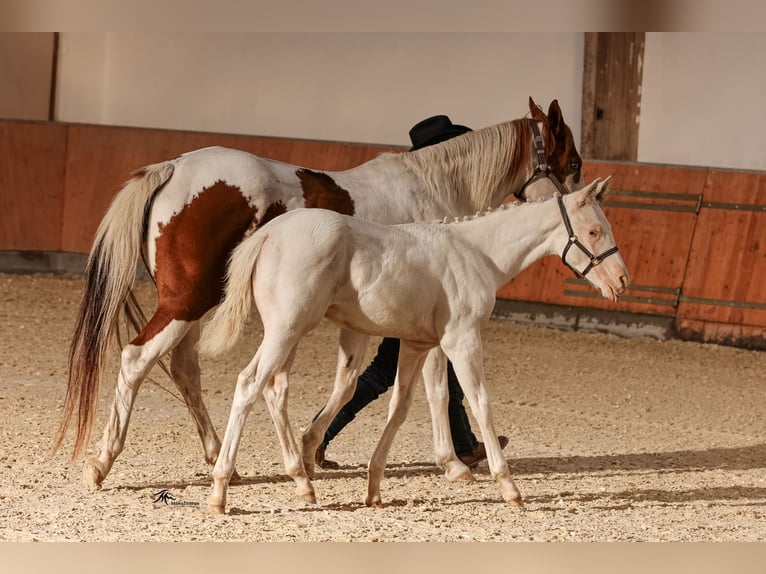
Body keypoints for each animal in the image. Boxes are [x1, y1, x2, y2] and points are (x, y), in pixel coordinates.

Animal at [54, 97, 584, 488]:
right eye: (574, 161)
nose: (580, 204)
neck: (433, 191)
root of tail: (172, 167)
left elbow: (377, 381)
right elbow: (437, 384)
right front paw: (454, 460)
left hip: (196, 306)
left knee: (184, 368)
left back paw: (220, 458)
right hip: (186, 303)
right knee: (136, 360)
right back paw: (103, 463)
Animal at [200, 180, 632, 512]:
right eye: (594, 231)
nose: (622, 281)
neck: (477, 254)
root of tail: (269, 232)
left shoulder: (417, 344)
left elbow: (403, 406)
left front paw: (374, 489)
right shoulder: (461, 341)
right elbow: (479, 402)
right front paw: (509, 488)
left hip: (289, 332)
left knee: (276, 390)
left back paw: (303, 482)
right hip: (286, 329)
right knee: (249, 384)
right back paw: (221, 490)